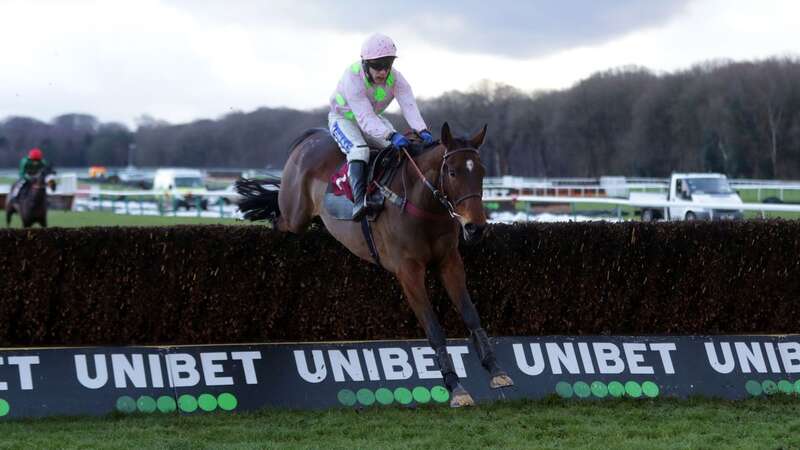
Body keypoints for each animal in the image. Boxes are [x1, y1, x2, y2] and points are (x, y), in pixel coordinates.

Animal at [236, 123, 512, 408]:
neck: (422, 204)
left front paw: (496, 370)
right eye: (453, 172)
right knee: (279, 219)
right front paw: (455, 386)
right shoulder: (408, 271)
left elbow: (471, 315)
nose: (475, 227)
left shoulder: (449, 262)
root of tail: (311, 137)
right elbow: (434, 328)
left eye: (481, 172)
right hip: (294, 217)